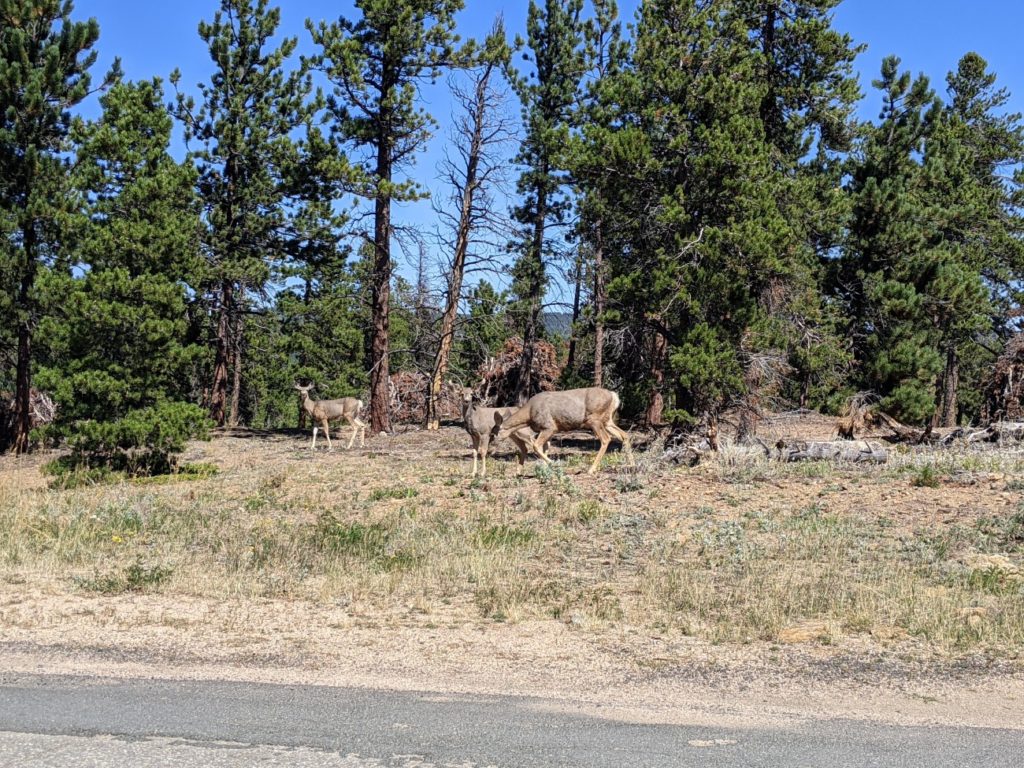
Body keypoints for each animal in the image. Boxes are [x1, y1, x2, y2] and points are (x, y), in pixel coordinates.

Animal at [497, 387, 630, 473]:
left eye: (498, 430)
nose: (497, 439)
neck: (529, 414)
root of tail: (614, 396)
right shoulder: (550, 431)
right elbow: (545, 448)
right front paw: (545, 468)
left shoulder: (549, 426)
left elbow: (536, 446)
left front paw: (554, 464)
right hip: (607, 420)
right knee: (624, 435)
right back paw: (631, 465)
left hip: (594, 419)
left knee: (606, 439)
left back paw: (591, 469)